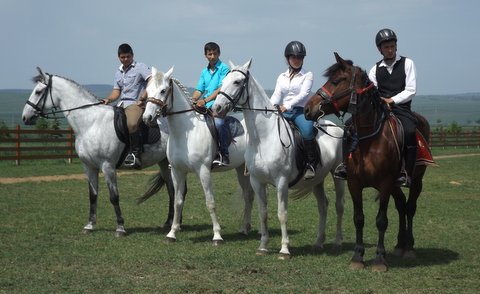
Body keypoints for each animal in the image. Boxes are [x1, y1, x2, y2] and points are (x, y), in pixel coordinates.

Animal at [22, 67, 176, 237]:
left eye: (38, 92)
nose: (25, 117)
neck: (91, 123)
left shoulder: (107, 166)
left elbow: (114, 197)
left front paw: (120, 228)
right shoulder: (89, 166)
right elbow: (93, 195)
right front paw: (89, 225)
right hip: (164, 162)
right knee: (172, 191)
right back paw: (169, 222)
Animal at [142, 68, 255, 245]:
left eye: (163, 90)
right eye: (147, 91)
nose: (147, 118)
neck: (185, 134)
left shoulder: (203, 171)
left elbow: (210, 202)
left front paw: (217, 236)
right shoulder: (177, 171)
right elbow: (178, 201)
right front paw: (172, 233)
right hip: (240, 169)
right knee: (248, 195)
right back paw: (245, 229)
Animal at [213, 60, 344, 258]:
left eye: (237, 82)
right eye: (223, 81)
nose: (216, 109)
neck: (264, 138)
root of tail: (336, 127)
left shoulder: (281, 181)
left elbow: (282, 214)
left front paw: (284, 250)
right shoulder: (256, 181)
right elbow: (263, 213)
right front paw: (262, 247)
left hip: (337, 175)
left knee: (338, 206)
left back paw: (337, 243)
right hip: (318, 180)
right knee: (323, 205)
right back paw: (318, 243)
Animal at [308, 52, 436, 272]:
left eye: (336, 81)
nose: (308, 108)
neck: (370, 140)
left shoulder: (384, 185)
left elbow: (381, 220)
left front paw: (379, 260)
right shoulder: (354, 184)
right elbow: (359, 219)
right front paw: (357, 257)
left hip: (415, 180)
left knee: (410, 207)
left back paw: (409, 248)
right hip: (395, 185)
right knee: (401, 206)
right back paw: (399, 245)